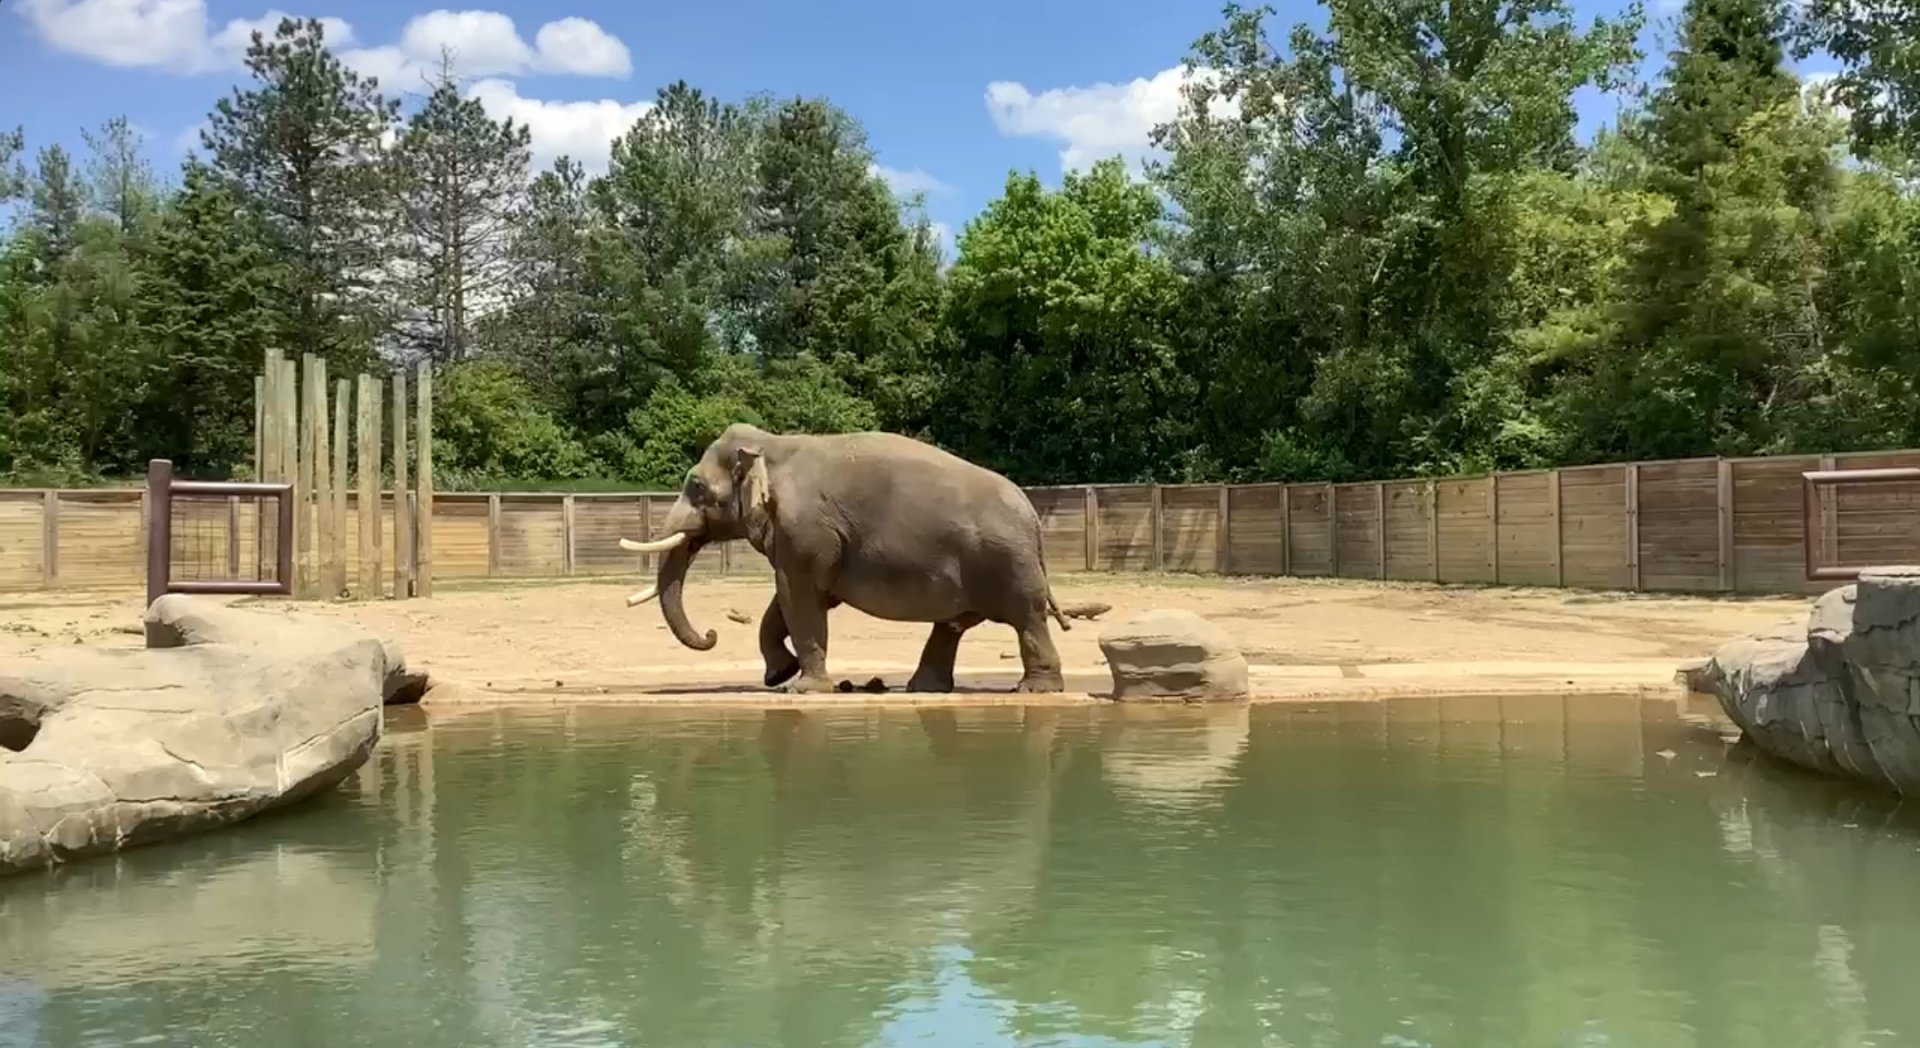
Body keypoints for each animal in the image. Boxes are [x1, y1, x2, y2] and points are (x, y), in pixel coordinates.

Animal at [619, 423, 1072, 694]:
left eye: (696, 487)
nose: (711, 634)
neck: (772, 444)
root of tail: (1032, 516)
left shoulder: (805, 530)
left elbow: (798, 596)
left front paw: (801, 689)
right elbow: (791, 600)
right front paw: (780, 675)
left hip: (1007, 563)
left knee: (1026, 618)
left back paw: (1034, 690)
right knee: (952, 625)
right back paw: (923, 689)